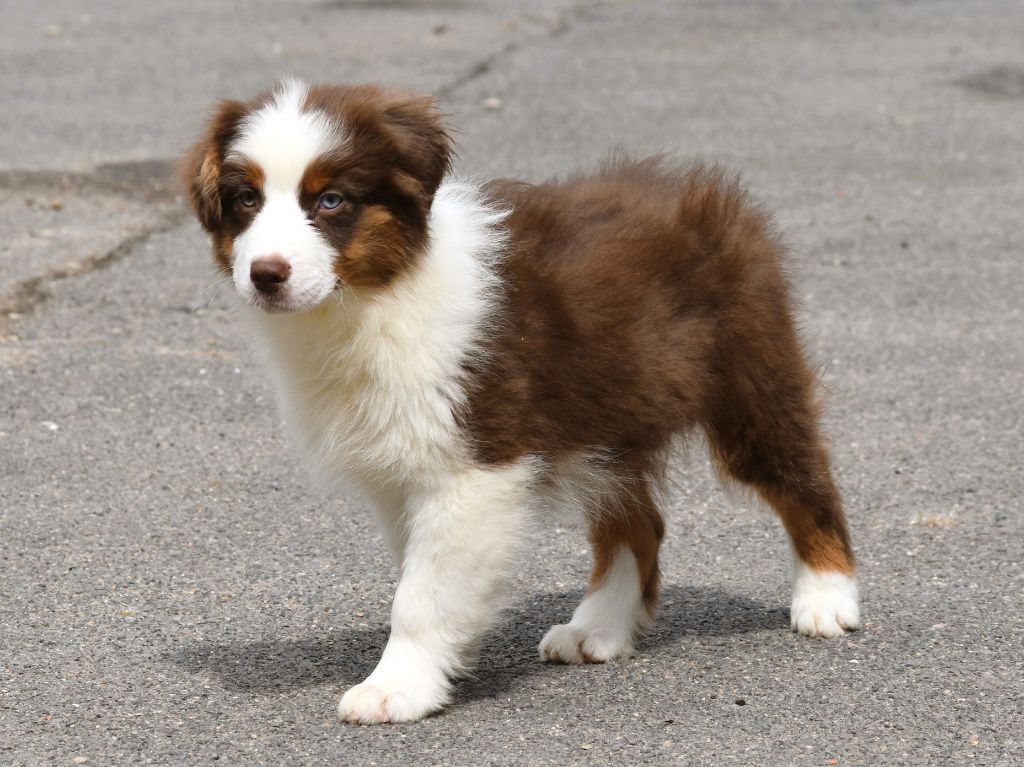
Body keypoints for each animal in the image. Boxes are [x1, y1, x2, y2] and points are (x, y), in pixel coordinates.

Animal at [181, 80, 859, 724]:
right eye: (247, 200)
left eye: (330, 201)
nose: (266, 274)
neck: (375, 298)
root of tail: (712, 195)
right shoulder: (405, 469)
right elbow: (425, 572)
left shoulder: (476, 462)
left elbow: (421, 594)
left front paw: (396, 688)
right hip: (606, 421)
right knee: (639, 524)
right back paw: (598, 628)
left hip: (749, 378)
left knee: (804, 480)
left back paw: (827, 597)